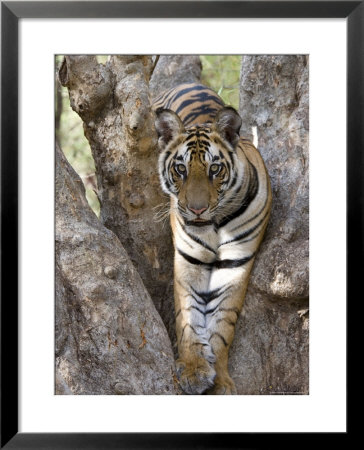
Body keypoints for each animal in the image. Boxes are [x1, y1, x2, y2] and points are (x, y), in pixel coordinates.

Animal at [153, 83, 270, 394]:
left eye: (214, 169)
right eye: (180, 169)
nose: (196, 209)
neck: (215, 226)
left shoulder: (235, 264)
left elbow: (222, 323)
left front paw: (219, 380)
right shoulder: (189, 260)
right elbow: (188, 316)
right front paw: (193, 369)